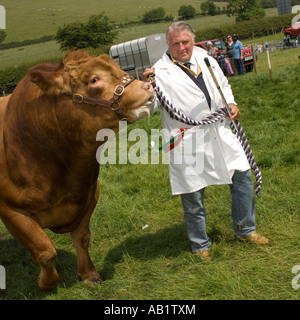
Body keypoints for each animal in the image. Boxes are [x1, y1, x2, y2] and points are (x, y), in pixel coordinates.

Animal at [0, 49, 154, 290]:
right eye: (94, 79)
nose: (147, 86)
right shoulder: (11, 210)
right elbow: (45, 252)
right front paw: (46, 283)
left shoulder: (89, 194)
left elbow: (82, 238)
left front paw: (89, 274)